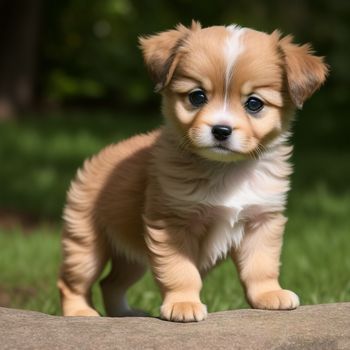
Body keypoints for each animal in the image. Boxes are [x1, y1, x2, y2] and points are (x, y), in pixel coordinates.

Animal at [58, 21, 328, 322]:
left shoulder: (261, 221)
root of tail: (104, 154)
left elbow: (261, 267)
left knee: (111, 282)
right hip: (86, 245)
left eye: (254, 103)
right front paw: (183, 303)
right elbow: (180, 271)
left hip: (132, 257)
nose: (221, 130)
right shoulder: (172, 224)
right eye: (197, 97)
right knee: (72, 282)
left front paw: (269, 294)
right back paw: (81, 312)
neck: (225, 170)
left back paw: (124, 313)